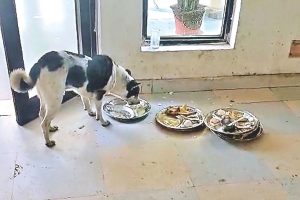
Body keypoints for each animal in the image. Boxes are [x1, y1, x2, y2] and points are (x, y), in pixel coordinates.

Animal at [9, 50, 141, 148]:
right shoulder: (99, 95)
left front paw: (92, 113)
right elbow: (99, 111)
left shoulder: (83, 91)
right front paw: (103, 122)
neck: (115, 75)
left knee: (42, 115)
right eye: (136, 94)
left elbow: (87, 103)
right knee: (44, 122)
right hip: (55, 100)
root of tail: (39, 63)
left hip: (45, 98)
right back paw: (48, 142)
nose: (139, 101)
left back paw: (50, 129)